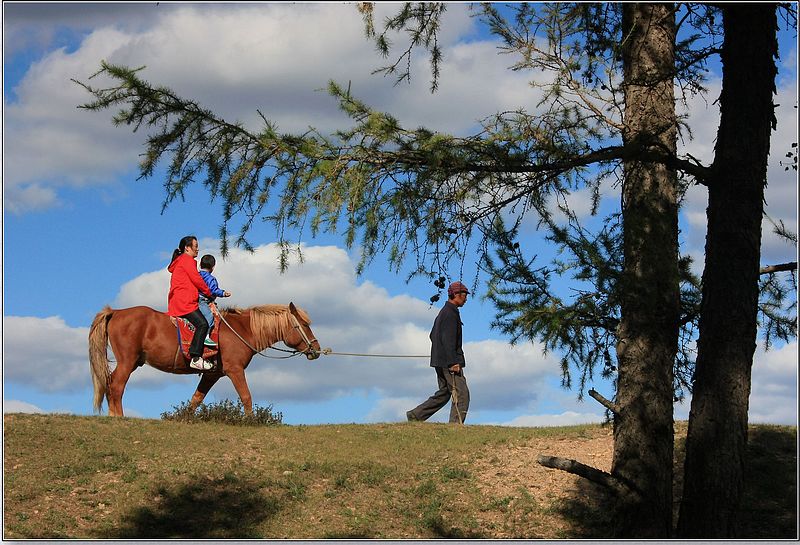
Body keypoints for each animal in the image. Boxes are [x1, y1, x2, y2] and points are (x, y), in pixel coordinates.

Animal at [89, 302, 320, 416]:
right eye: (304, 325)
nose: (316, 349)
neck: (242, 330)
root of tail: (115, 312)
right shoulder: (235, 370)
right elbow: (246, 396)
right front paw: (251, 421)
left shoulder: (212, 375)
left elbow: (196, 400)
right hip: (127, 361)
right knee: (116, 386)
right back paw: (119, 417)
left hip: (132, 362)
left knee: (110, 384)